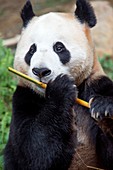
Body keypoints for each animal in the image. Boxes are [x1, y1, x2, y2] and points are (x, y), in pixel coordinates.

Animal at [3, 0, 113, 169]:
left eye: (59, 47)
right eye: (31, 50)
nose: (40, 71)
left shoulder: (95, 83)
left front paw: (104, 107)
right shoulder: (24, 98)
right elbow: (34, 151)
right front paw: (61, 88)